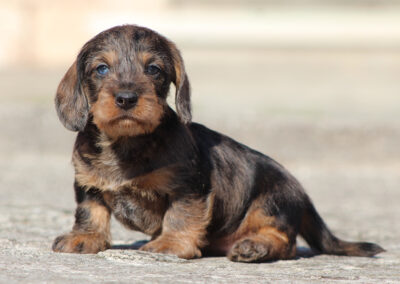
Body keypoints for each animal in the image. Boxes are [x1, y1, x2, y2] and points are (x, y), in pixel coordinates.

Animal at [52, 24, 384, 262]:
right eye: (101, 68)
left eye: (154, 69)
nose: (126, 98)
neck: (126, 144)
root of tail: (302, 194)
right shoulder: (88, 184)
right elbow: (90, 212)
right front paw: (84, 238)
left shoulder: (188, 187)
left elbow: (180, 216)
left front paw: (170, 244)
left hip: (271, 201)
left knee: (284, 241)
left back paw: (255, 247)